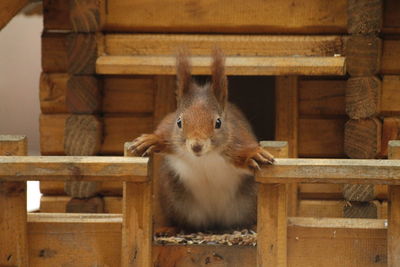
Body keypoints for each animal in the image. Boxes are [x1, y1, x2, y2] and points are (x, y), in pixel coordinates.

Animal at [130, 49, 274, 231]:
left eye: (218, 123)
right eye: (179, 122)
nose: (196, 146)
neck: (205, 157)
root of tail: (214, 220)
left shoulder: (236, 139)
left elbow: (243, 150)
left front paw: (254, 154)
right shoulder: (170, 129)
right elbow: (164, 132)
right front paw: (150, 140)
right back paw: (167, 229)